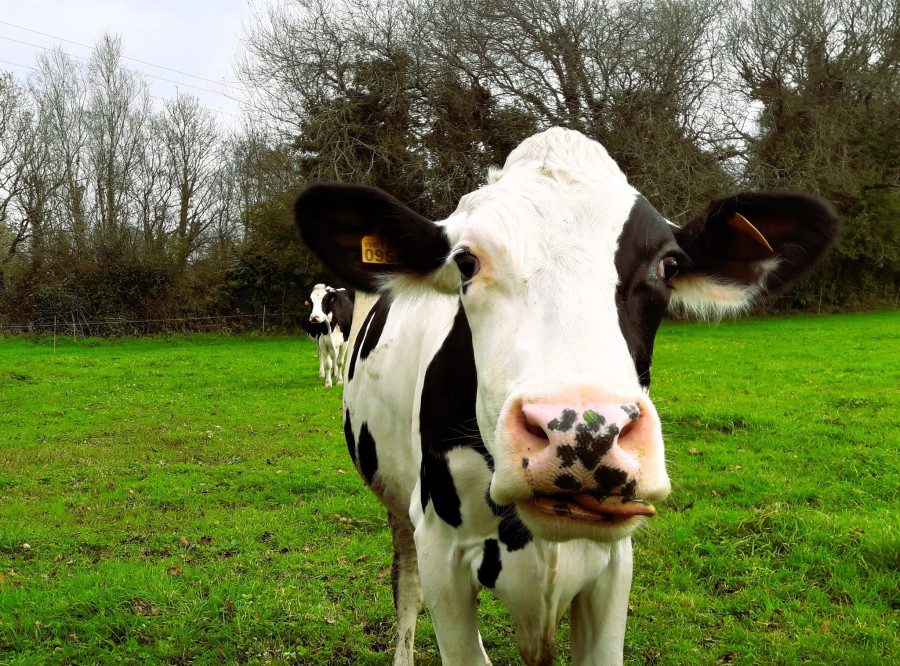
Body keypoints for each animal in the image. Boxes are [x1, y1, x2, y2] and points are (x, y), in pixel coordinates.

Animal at [294, 127, 836, 660]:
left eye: (668, 265)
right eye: (466, 262)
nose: (583, 434)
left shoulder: (614, 564)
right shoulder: (440, 551)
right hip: (399, 508)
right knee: (405, 585)